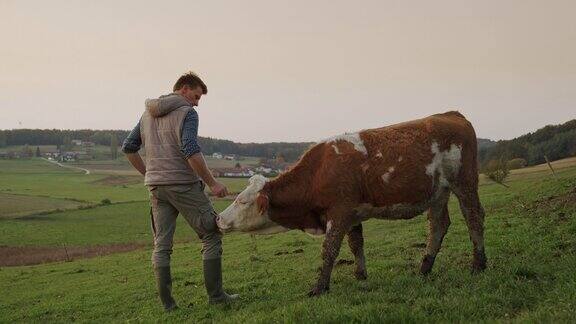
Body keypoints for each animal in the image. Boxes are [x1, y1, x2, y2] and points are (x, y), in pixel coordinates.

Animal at [216, 111, 486, 296]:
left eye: (241, 200)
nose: (218, 218)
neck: (318, 171)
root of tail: (450, 114)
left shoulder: (339, 212)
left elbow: (329, 249)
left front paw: (320, 288)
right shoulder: (353, 214)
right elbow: (356, 245)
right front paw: (360, 275)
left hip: (464, 182)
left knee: (473, 217)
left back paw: (478, 265)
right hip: (438, 193)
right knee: (438, 225)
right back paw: (424, 268)